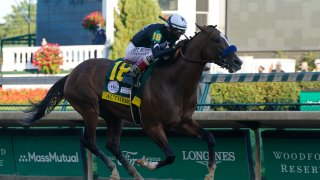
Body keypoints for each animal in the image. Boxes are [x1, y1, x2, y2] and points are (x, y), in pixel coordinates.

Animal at [23, 24, 242, 179]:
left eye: (226, 38)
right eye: (216, 39)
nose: (237, 62)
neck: (174, 82)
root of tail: (71, 74)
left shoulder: (182, 122)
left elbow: (210, 138)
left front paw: (210, 172)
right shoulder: (152, 126)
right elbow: (170, 155)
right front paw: (145, 163)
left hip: (114, 116)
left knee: (112, 145)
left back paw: (134, 174)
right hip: (89, 108)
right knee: (90, 141)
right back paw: (114, 170)